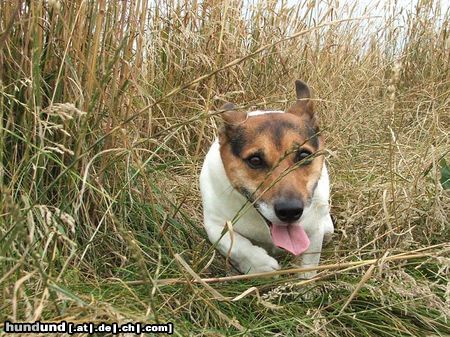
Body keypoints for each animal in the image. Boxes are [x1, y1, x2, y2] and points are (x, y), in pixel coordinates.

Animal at [199, 79, 332, 276]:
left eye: (303, 155)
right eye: (255, 160)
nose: (290, 211)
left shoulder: (314, 229)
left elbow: (308, 267)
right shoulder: (214, 224)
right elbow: (237, 245)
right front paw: (259, 265)